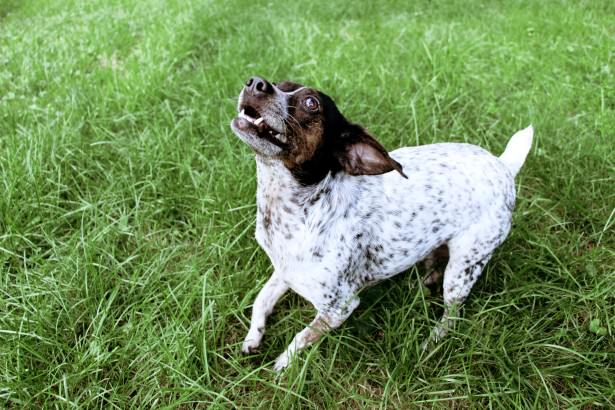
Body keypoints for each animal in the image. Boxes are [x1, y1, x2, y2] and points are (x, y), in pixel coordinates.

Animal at [231, 75, 536, 370]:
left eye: (311, 103)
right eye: (280, 84)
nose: (255, 82)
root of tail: (503, 165)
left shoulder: (339, 308)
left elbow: (299, 338)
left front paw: (283, 364)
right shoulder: (283, 271)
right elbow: (261, 300)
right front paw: (252, 337)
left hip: (464, 268)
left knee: (453, 314)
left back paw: (432, 341)